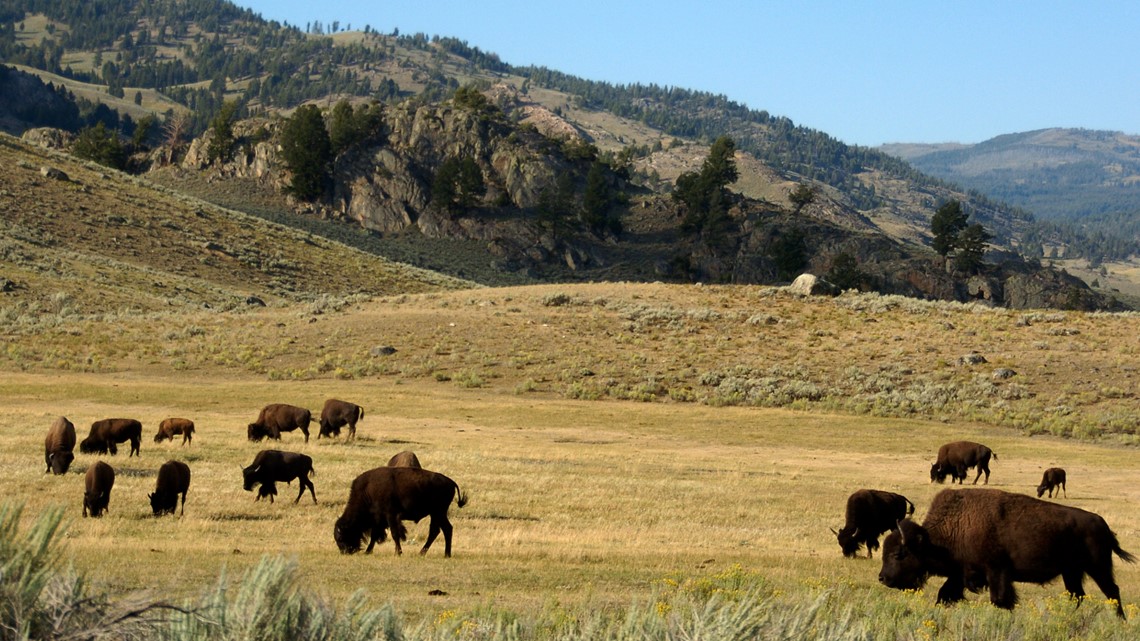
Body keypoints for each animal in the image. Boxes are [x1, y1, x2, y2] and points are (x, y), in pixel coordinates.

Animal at [332, 463, 467, 554]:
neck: (367, 490)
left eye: (341, 537)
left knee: (440, 530)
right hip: (437, 514)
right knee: (441, 530)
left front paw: (398, 552)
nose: (345, 551)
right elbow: (374, 535)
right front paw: (368, 551)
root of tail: (451, 482)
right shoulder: (378, 519)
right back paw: (437, 553)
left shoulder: (390, 515)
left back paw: (434, 553)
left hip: (438, 512)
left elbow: (394, 533)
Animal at [875, 485, 1135, 615]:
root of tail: (1102, 523)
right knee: (1077, 595)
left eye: (898, 554)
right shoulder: (961, 573)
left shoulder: (996, 571)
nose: (883, 578)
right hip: (1071, 572)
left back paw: (1119, 621)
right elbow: (945, 594)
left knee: (1112, 591)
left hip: (1098, 567)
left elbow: (1000, 600)